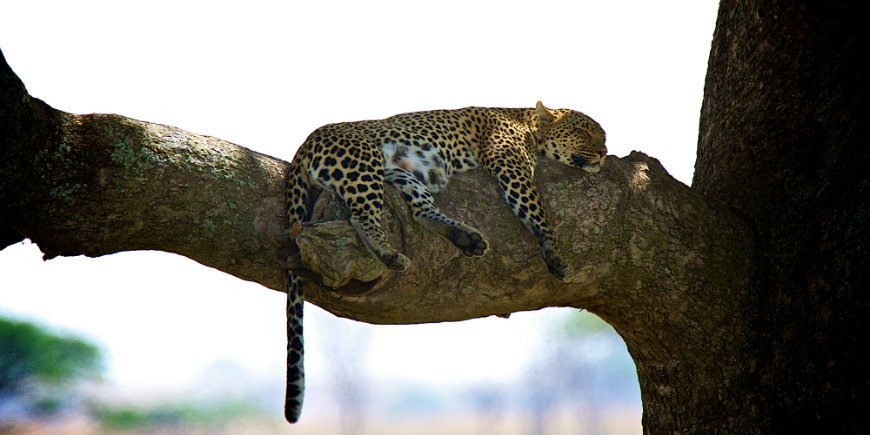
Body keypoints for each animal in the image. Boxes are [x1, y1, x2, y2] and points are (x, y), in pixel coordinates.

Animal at [283, 101, 606, 423]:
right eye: (582, 133)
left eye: (602, 136)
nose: (604, 152)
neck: (526, 122)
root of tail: (305, 142)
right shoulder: (510, 164)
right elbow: (536, 208)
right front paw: (554, 253)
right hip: (363, 162)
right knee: (360, 215)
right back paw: (389, 253)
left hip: (403, 176)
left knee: (420, 211)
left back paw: (467, 238)